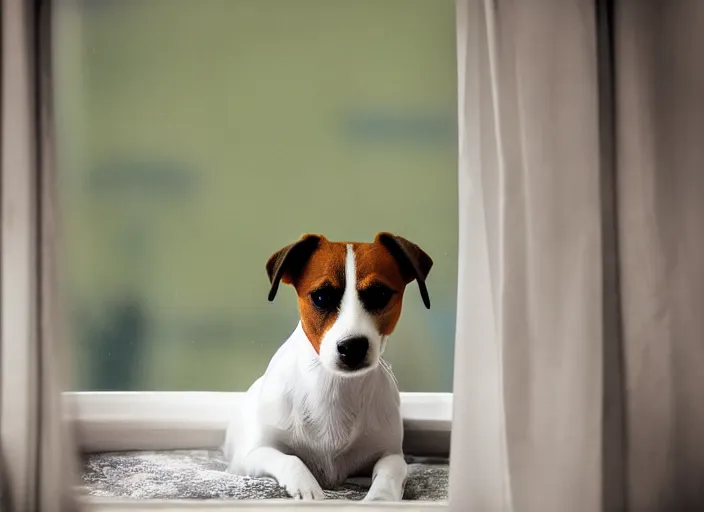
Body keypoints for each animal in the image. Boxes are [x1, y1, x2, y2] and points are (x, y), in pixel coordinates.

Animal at [226, 233, 432, 500]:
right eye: (321, 297)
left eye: (380, 294)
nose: (353, 347)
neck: (334, 388)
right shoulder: (252, 456)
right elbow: (289, 459)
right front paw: (308, 488)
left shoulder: (391, 455)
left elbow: (391, 470)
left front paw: (380, 497)